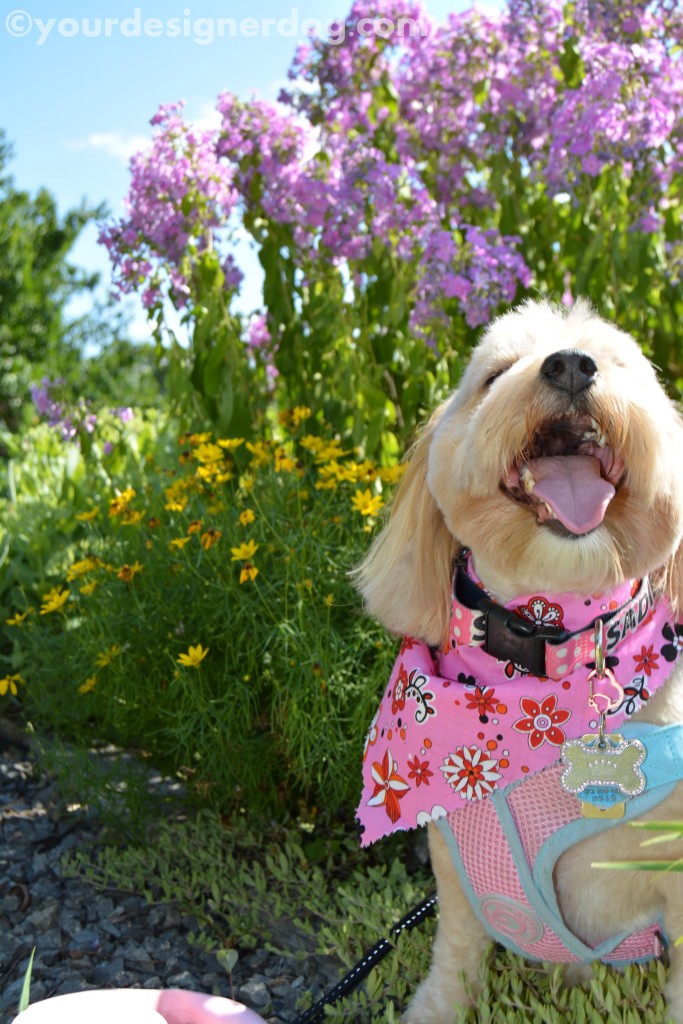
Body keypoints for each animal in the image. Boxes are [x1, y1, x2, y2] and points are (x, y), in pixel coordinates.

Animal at [356, 299, 683, 1024]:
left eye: (617, 362)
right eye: (495, 373)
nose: (571, 365)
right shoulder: (455, 865)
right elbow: (455, 954)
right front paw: (437, 1009)